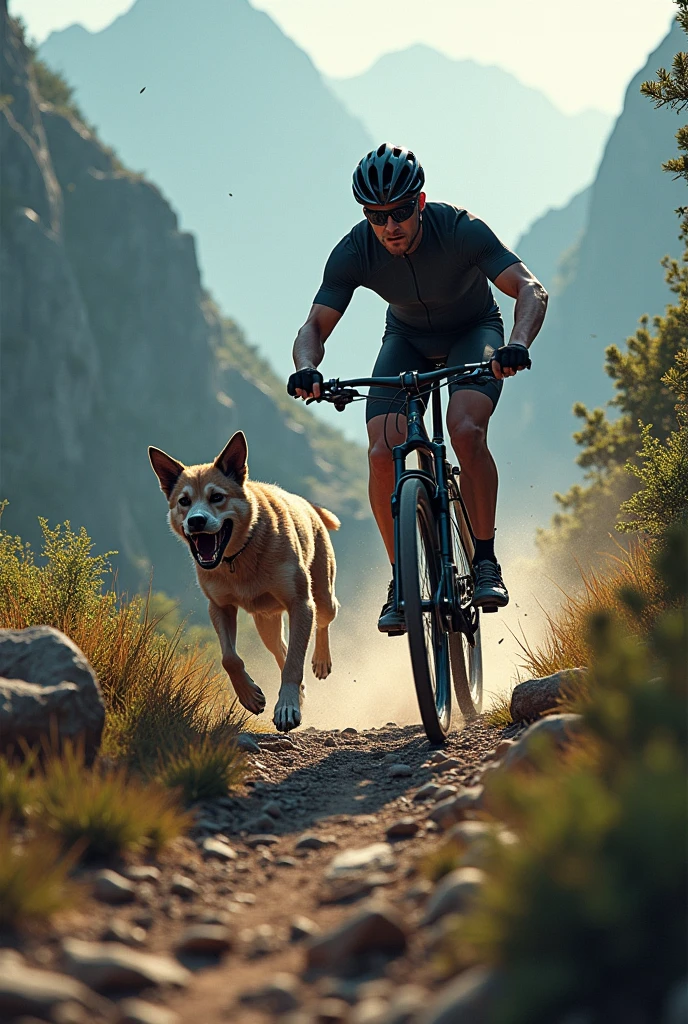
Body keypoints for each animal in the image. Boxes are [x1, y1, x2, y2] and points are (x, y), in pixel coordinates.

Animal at [151, 428, 341, 733]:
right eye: (184, 501)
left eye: (217, 496)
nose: (196, 521)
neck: (238, 557)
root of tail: (307, 505)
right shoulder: (219, 606)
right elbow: (229, 658)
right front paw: (250, 695)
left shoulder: (301, 603)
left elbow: (294, 663)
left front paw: (287, 708)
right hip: (266, 624)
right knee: (281, 650)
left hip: (321, 595)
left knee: (322, 622)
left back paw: (321, 660)